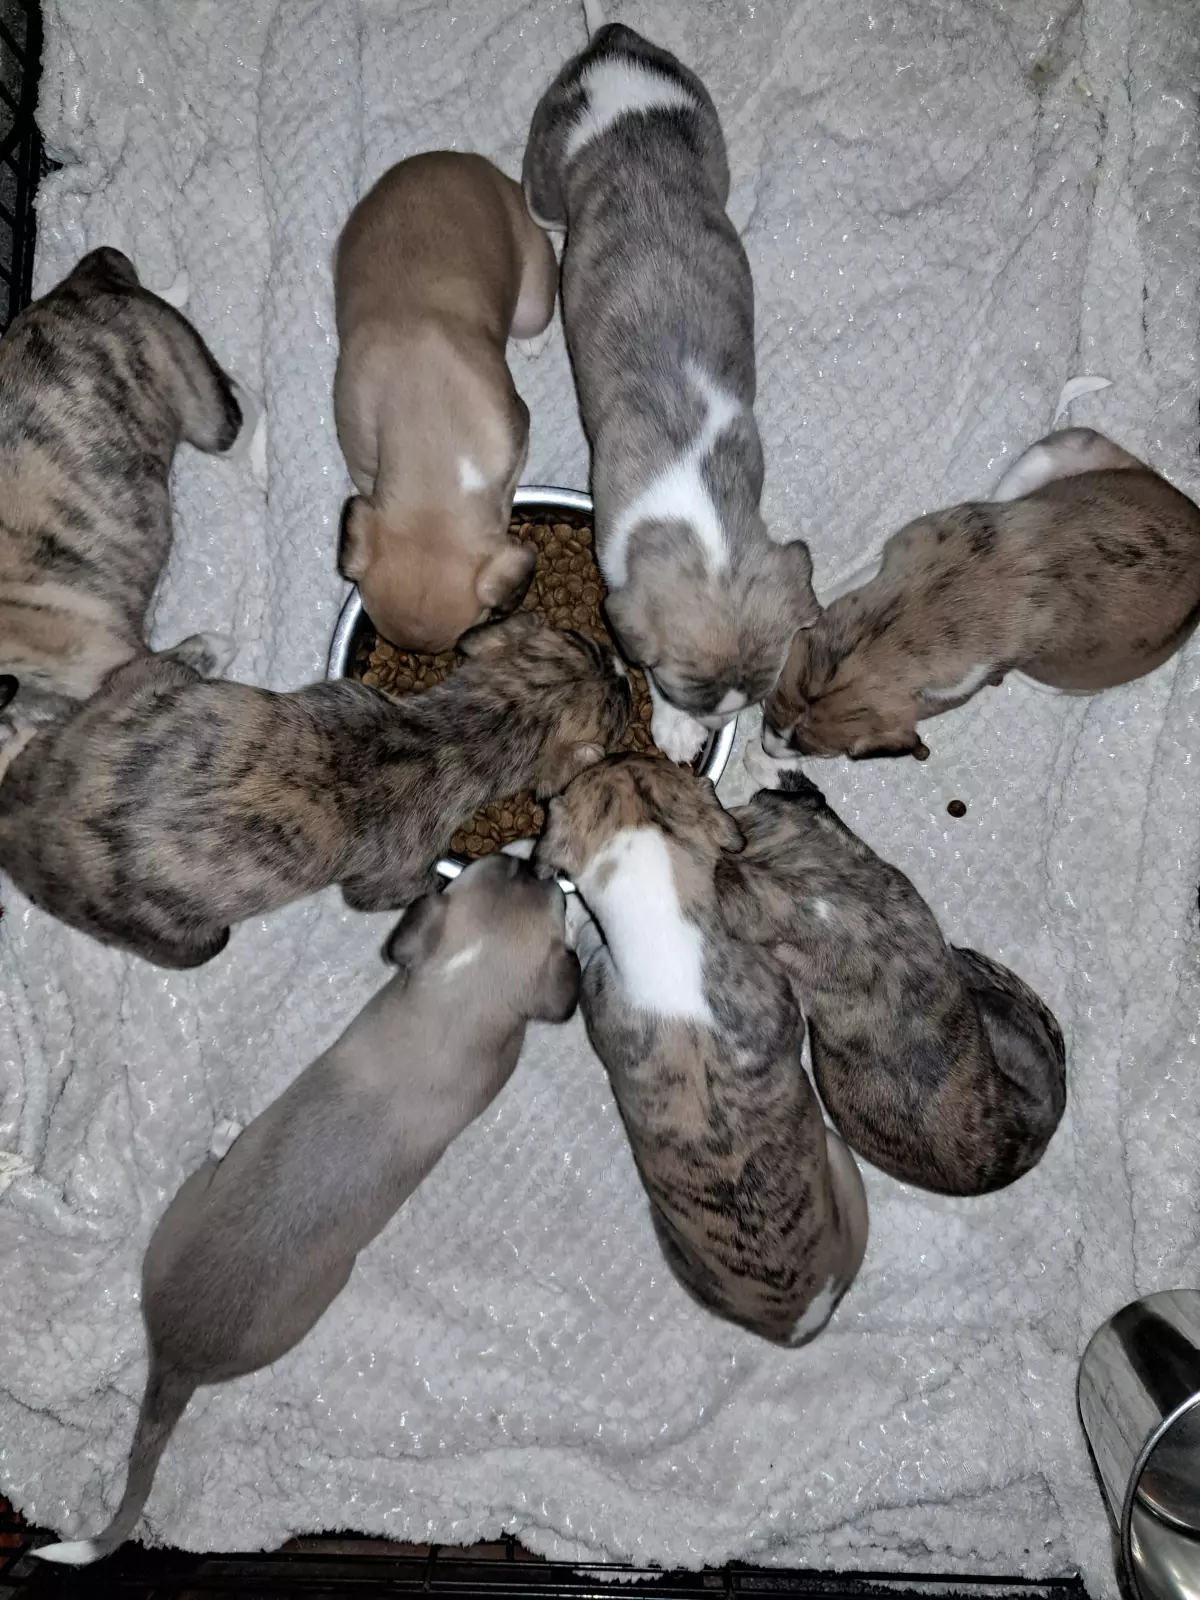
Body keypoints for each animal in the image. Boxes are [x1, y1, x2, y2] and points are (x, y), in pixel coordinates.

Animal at [0, 613, 630, 968]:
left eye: (590, 645)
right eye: (618, 707)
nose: (625, 671)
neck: (457, 731)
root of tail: (20, 818)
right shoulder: (393, 879)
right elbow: (424, 886)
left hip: (142, 693)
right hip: (181, 939)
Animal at [31, 855, 580, 1566]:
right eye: (519, 876)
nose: (529, 859)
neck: (459, 999)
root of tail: (177, 1362)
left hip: (189, 1216)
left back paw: (224, 1135)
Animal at [523, 19, 818, 764]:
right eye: (675, 686)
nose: (714, 728)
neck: (703, 513)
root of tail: (612, 46)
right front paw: (676, 728)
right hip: (543, 170)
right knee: (544, 221)